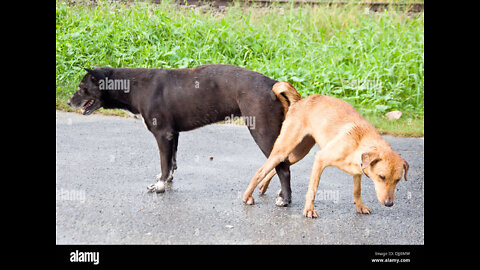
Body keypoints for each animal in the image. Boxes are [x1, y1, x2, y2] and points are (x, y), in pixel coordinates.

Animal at [67, 65, 292, 205]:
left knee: (283, 167)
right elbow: (171, 163)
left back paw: (285, 199)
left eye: (82, 88)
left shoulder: (162, 134)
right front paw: (166, 180)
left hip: (262, 131)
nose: (69, 102)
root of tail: (271, 84)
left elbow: (163, 163)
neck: (133, 86)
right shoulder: (172, 134)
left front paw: (158, 187)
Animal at [244, 81, 408, 217]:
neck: (359, 142)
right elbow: (313, 189)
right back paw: (247, 196)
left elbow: (357, 191)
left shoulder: (357, 172)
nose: (389, 204)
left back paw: (264, 186)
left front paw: (360, 206)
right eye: (382, 177)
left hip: (298, 153)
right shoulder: (320, 159)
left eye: (398, 180)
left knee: (279, 166)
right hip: (283, 148)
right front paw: (309, 210)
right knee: (261, 171)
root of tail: (301, 100)